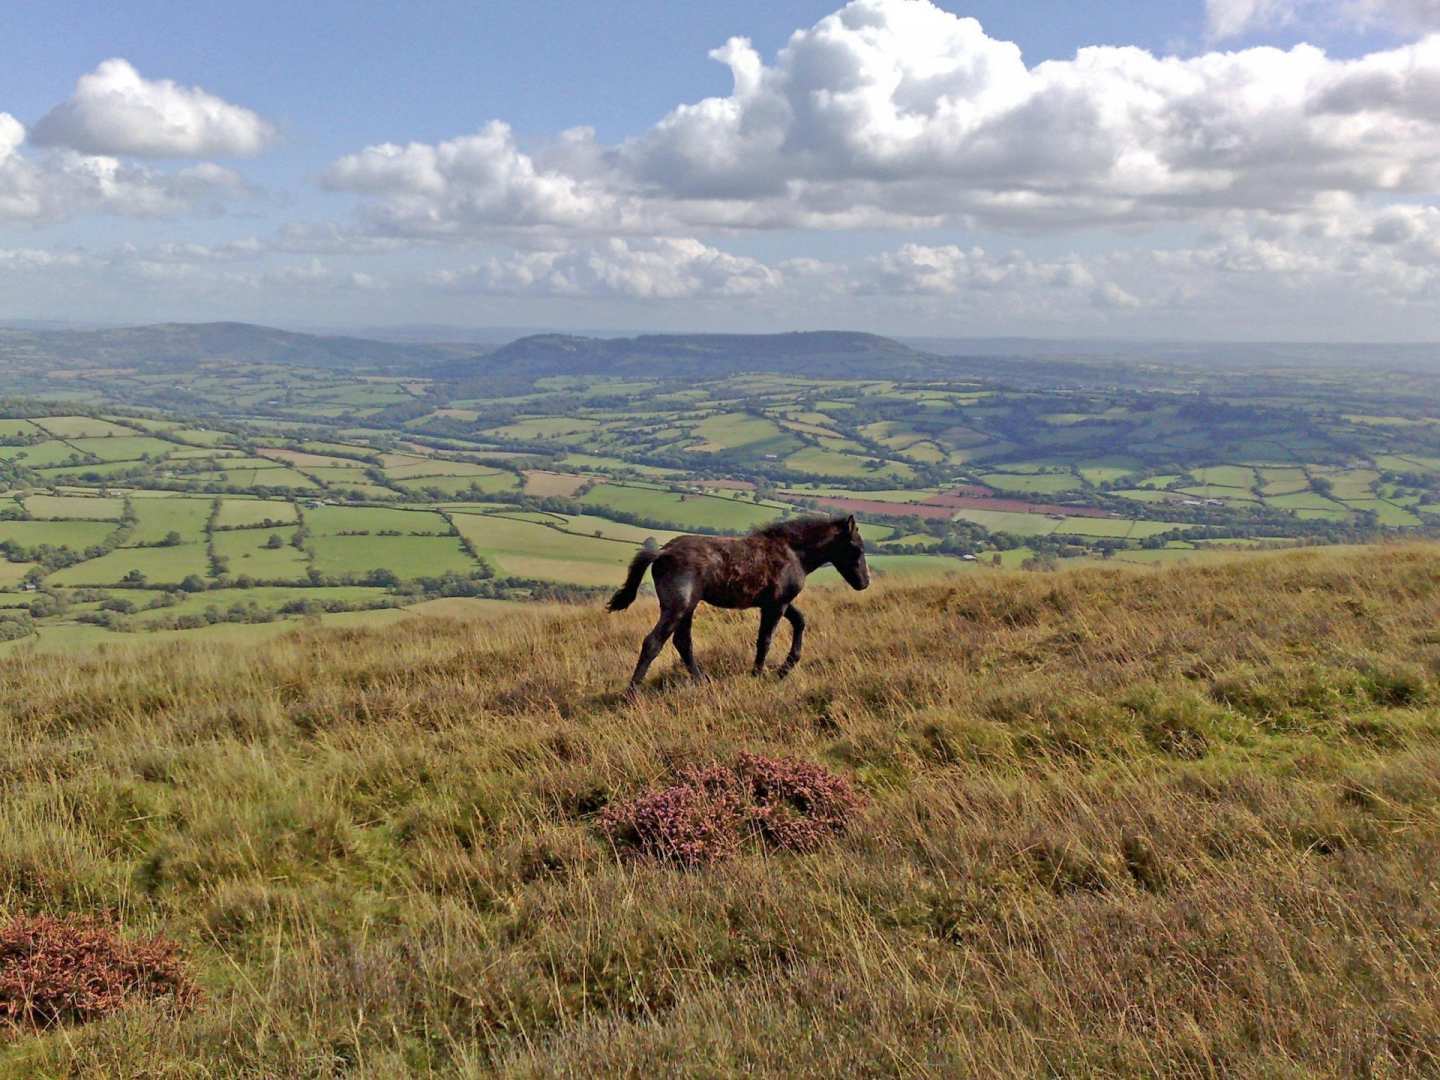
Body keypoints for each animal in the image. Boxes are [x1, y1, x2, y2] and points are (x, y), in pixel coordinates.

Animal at [604, 512, 864, 694]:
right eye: (856, 547)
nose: (864, 582)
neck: (792, 552)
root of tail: (662, 552)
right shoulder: (776, 605)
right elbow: (765, 640)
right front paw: (758, 674)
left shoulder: (777, 602)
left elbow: (799, 621)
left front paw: (785, 668)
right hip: (678, 607)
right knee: (653, 642)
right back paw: (632, 693)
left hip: (687, 608)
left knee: (683, 642)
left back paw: (701, 680)